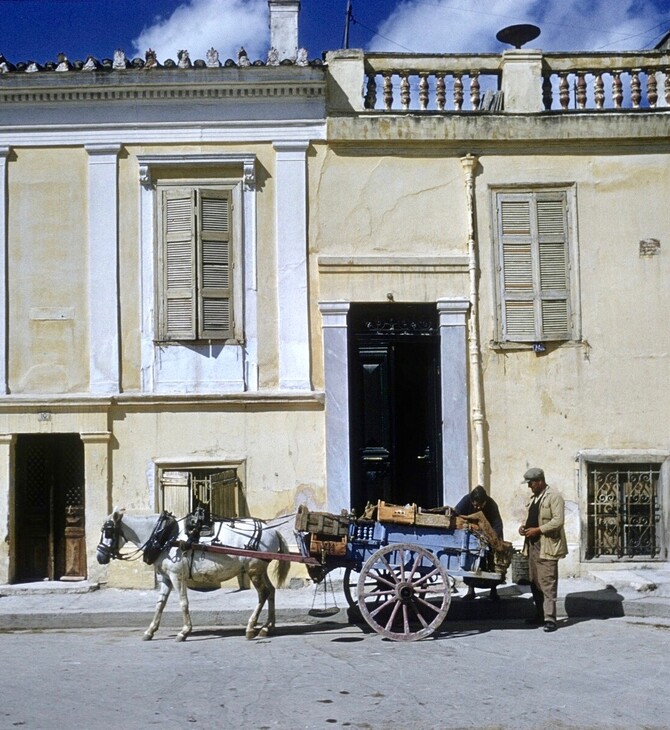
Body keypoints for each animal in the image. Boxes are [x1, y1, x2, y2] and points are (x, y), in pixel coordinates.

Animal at [96, 510, 288, 640]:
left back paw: (251, 628)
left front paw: (184, 631)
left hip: (253, 569)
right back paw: (267, 627)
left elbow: (183, 603)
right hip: (260, 569)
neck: (165, 536)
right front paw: (150, 630)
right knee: (271, 591)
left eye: (107, 531)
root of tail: (273, 531)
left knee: (263, 593)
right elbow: (160, 604)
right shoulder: (166, 578)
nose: (100, 556)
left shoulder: (176, 576)